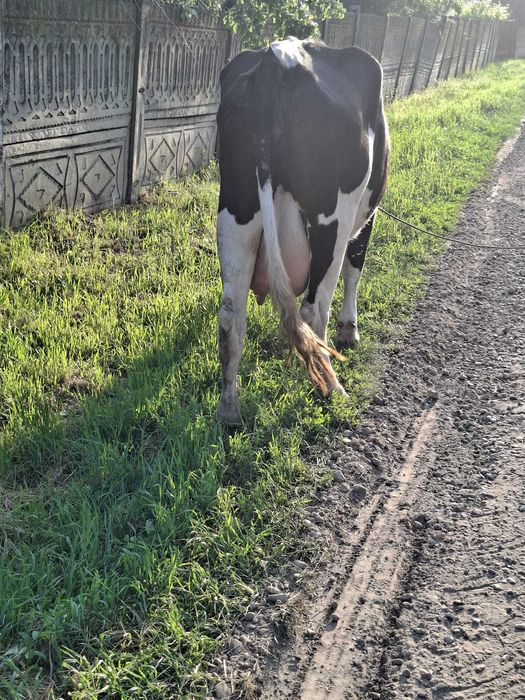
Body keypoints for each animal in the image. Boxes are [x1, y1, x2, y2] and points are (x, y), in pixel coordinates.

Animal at [216, 37, 389, 425]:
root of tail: (277, 59)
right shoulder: (367, 216)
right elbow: (356, 266)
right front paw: (349, 330)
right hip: (331, 221)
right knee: (313, 310)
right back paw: (333, 387)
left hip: (236, 211)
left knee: (231, 316)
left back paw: (229, 410)